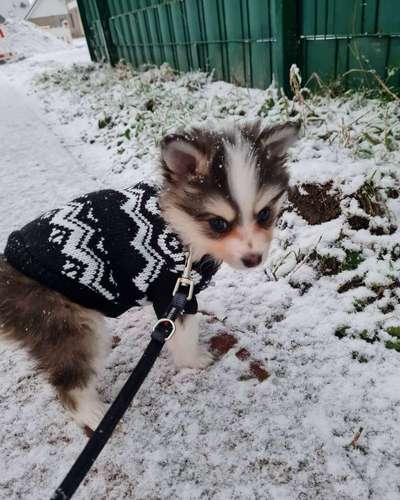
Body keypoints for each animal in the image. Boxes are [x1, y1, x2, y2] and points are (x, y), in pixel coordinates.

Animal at [0, 121, 298, 430]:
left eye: (264, 214)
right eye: (218, 223)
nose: (254, 260)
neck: (180, 228)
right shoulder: (172, 290)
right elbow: (183, 332)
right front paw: (194, 359)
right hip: (65, 321)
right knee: (70, 379)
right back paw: (93, 414)